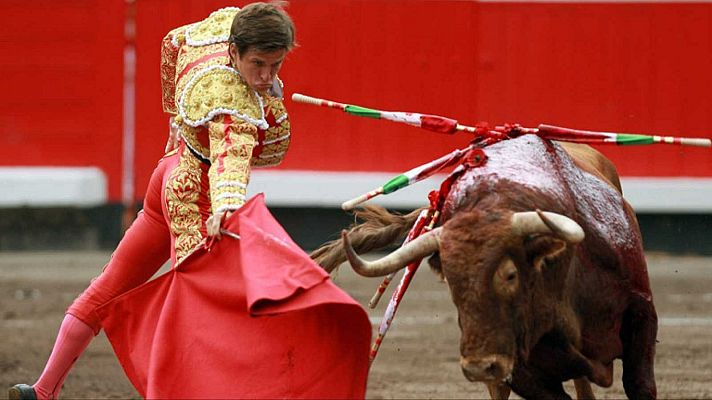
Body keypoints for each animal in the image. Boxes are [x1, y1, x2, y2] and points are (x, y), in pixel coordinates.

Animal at [314, 135, 660, 400]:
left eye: (510, 275)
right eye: (452, 282)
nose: (477, 367)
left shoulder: (642, 314)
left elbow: (640, 385)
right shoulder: (516, 365)